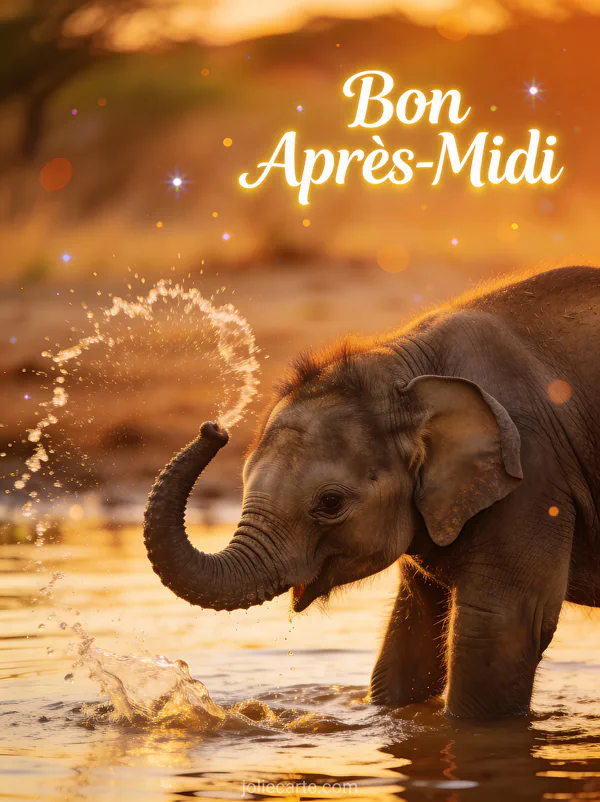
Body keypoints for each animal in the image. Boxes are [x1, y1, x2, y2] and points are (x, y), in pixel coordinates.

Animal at [144, 265, 600, 719]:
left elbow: (499, 628)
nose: (214, 428)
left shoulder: (534, 475)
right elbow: (412, 630)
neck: (404, 373)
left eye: (330, 502)